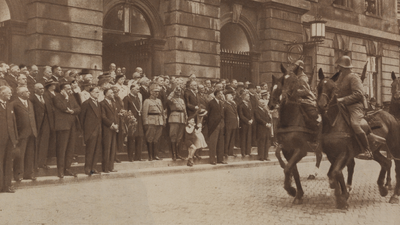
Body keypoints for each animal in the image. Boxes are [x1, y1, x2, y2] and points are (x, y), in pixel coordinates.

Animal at [318, 68, 398, 209]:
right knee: (386, 163)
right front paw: (342, 195)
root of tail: (390, 116)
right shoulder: (332, 155)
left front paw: (341, 198)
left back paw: (393, 194)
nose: (322, 106)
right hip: (375, 150)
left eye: (332, 88)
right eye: (319, 86)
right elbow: (336, 173)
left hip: (393, 148)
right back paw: (382, 188)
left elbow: (335, 173)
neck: (333, 124)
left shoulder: (343, 154)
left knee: (394, 165)